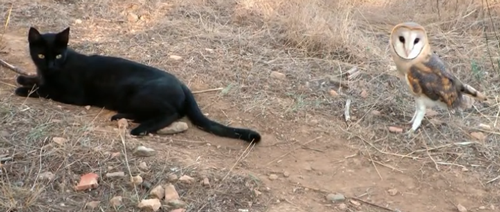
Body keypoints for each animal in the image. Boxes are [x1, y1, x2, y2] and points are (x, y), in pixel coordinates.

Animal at [14, 26, 262, 142]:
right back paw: (120, 117)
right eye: (41, 55)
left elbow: (44, 90)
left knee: (171, 114)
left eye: (57, 55)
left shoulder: (72, 94)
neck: (57, 69)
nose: (50, 66)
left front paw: (23, 88)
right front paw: (24, 78)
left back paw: (138, 129)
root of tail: (182, 84)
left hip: (141, 95)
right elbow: (36, 80)